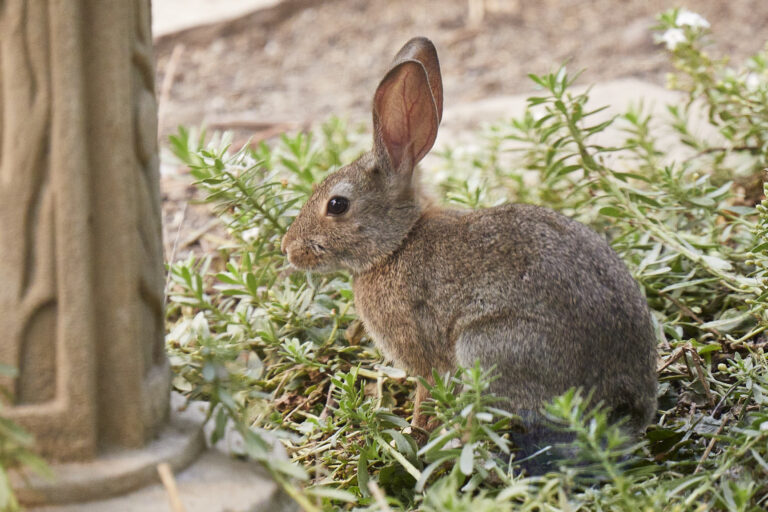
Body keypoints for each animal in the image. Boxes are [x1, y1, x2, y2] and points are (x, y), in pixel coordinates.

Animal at [281, 37, 657, 447]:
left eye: (337, 205)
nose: (288, 247)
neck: (396, 244)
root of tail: (631, 396)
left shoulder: (424, 354)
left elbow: (426, 391)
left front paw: (415, 431)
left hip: (489, 346)